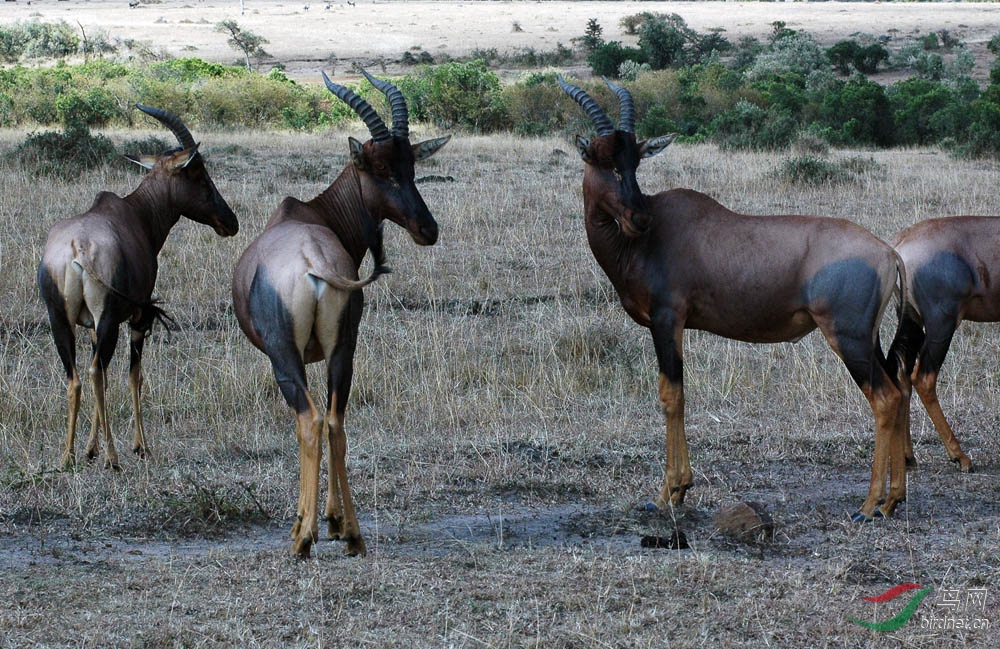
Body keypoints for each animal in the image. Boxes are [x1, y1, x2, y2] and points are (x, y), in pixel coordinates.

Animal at [36, 105, 240, 470]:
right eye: (199, 174)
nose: (230, 222)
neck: (135, 213)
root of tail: (78, 248)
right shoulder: (137, 318)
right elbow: (135, 377)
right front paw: (140, 446)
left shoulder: (91, 326)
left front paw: (89, 449)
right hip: (110, 322)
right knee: (96, 373)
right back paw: (113, 457)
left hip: (60, 320)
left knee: (77, 377)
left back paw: (67, 456)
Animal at [230, 69, 450, 556]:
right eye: (384, 170)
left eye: (410, 168)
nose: (427, 229)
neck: (309, 215)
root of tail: (312, 258)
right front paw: (334, 521)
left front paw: (307, 523)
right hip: (344, 351)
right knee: (335, 422)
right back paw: (352, 534)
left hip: (284, 358)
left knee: (310, 422)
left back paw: (303, 539)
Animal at [560, 76, 912, 520]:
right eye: (603, 160)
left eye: (634, 161)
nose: (638, 219)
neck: (650, 239)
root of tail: (888, 253)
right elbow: (677, 394)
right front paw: (677, 490)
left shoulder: (667, 320)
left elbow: (671, 395)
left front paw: (668, 494)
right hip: (870, 338)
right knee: (898, 390)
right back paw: (893, 499)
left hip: (848, 338)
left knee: (884, 398)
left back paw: (868, 506)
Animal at [888, 215, 996, 474]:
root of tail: (900, 244)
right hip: (941, 325)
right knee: (923, 378)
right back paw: (961, 457)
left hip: (910, 320)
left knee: (902, 374)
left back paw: (908, 457)